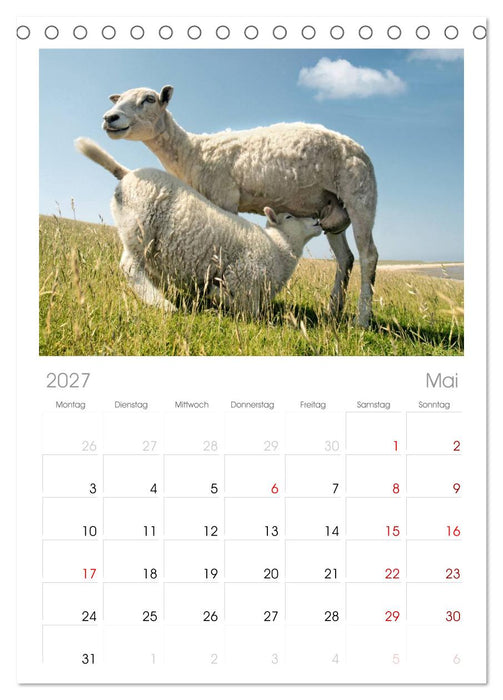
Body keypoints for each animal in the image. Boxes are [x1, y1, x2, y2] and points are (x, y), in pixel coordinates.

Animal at [74, 138, 322, 317]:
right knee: (130, 267)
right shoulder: (242, 277)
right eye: (289, 216)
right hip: (140, 226)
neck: (279, 249)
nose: (317, 221)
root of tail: (128, 174)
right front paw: (215, 295)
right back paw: (162, 304)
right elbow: (245, 309)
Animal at [102, 85, 378, 326]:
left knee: (368, 256)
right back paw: (334, 309)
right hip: (332, 208)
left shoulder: (224, 195)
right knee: (345, 258)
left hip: (360, 195)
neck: (192, 152)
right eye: (118, 98)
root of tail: (361, 150)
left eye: (149, 99)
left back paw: (362, 319)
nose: (109, 117)